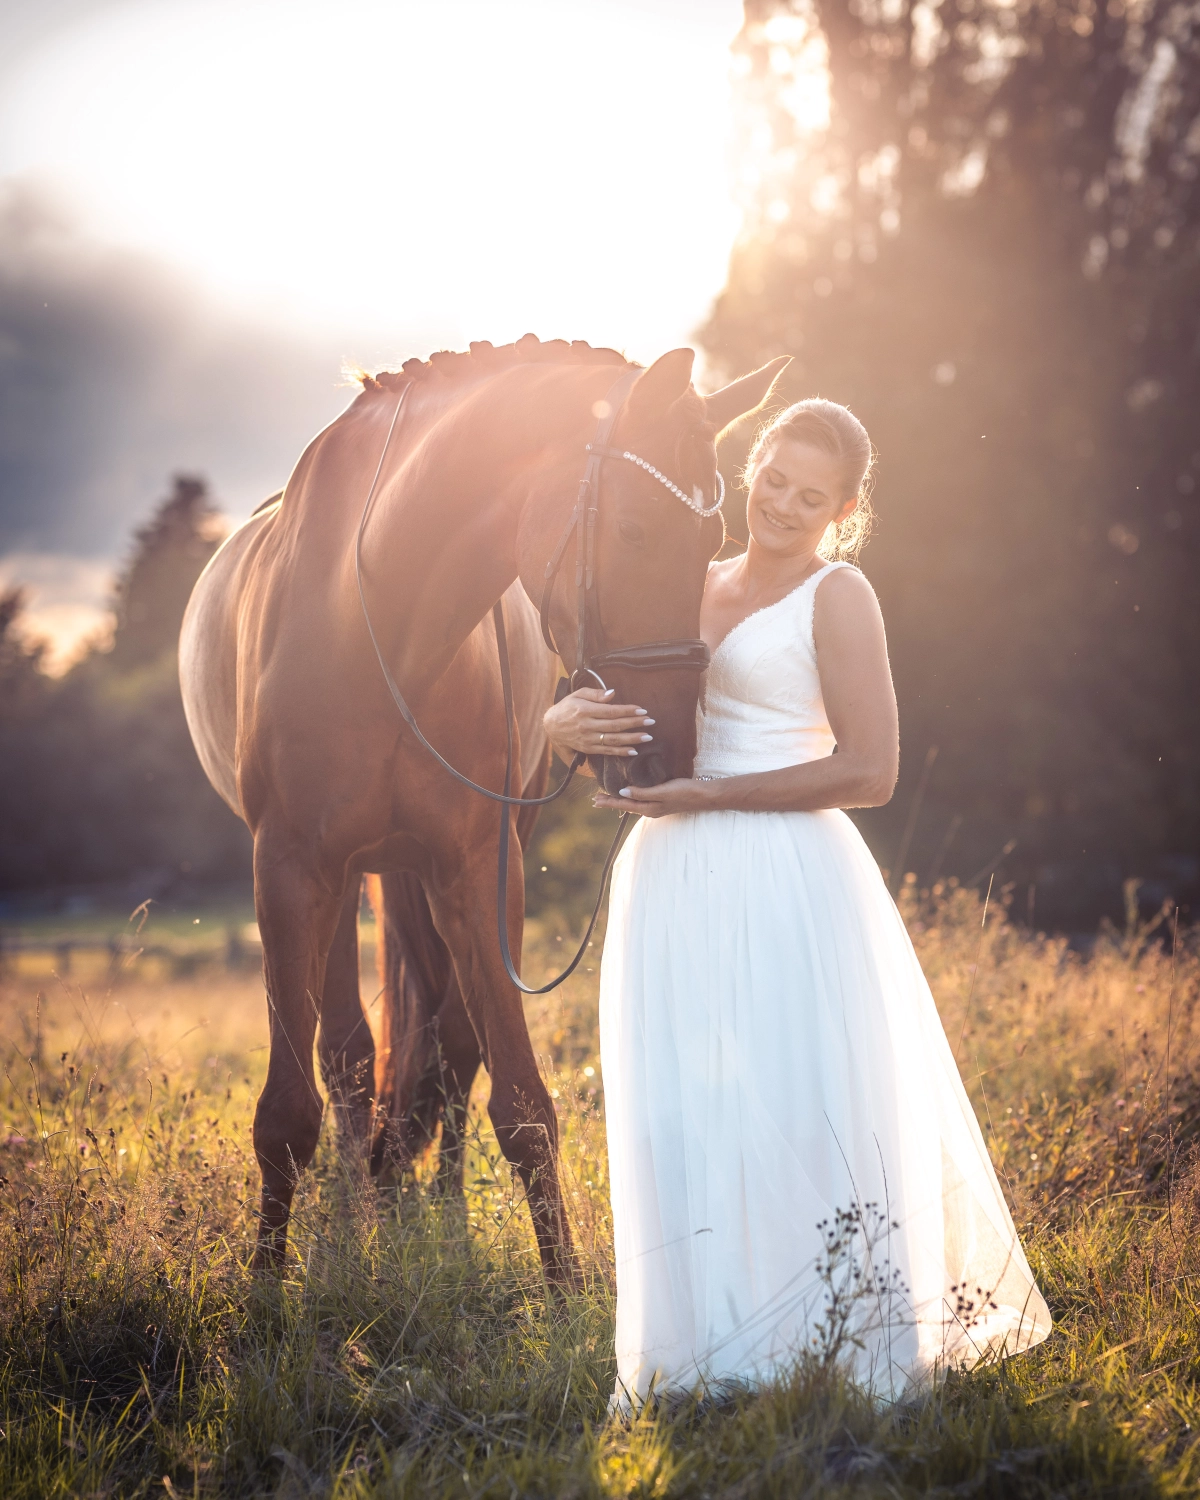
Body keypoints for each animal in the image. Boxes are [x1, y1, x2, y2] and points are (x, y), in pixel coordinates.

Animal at [180, 334, 786, 1272]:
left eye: (714, 542)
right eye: (634, 530)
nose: (671, 759)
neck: (375, 625)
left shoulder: (476, 870)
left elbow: (522, 1103)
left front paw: (566, 1286)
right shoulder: (286, 869)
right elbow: (286, 1114)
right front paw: (268, 1290)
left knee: (444, 1048)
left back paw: (428, 1206)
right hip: (341, 880)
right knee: (347, 1054)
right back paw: (357, 1215)